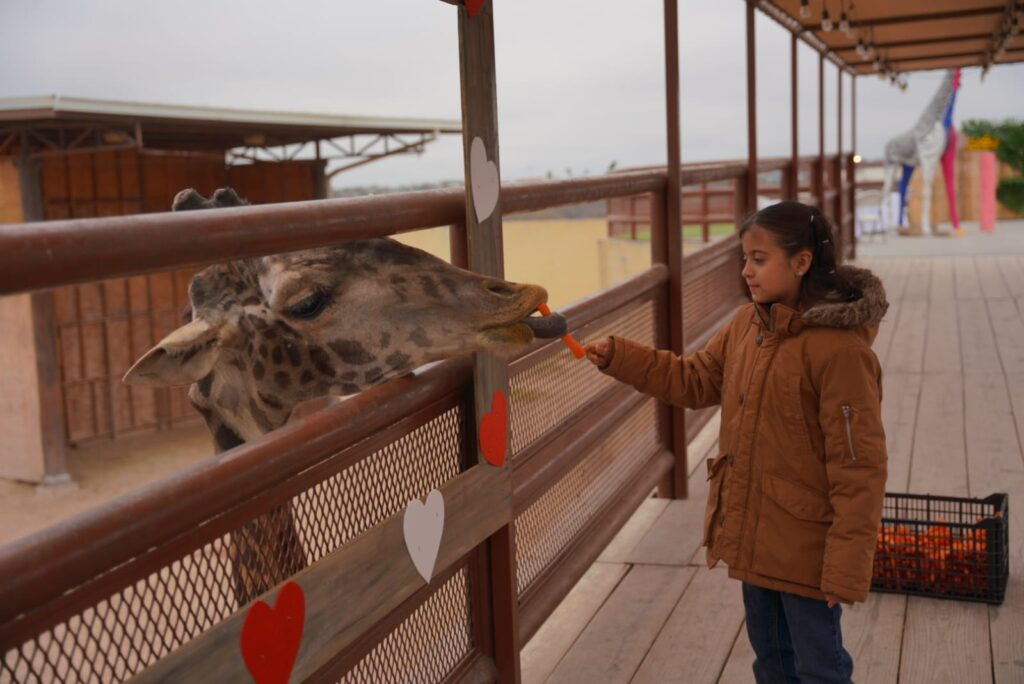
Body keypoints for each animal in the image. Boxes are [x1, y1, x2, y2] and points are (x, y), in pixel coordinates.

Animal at [876, 69, 962, 235]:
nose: (959, 83)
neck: (936, 119)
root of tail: (887, 144)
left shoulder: (936, 159)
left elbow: (937, 190)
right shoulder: (927, 158)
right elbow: (926, 191)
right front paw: (926, 229)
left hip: (905, 165)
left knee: (898, 188)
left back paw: (897, 226)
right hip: (890, 164)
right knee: (885, 190)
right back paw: (888, 227)